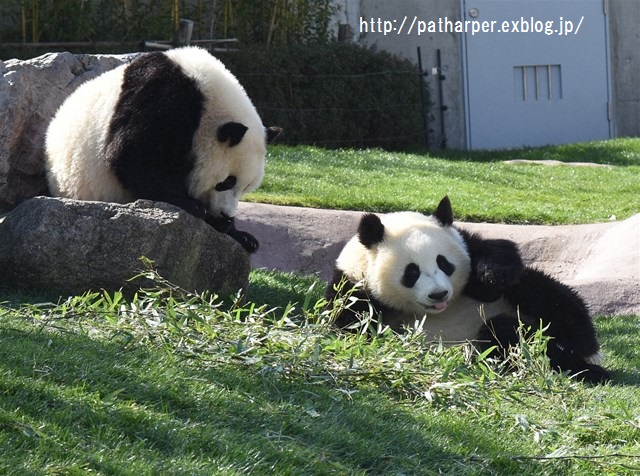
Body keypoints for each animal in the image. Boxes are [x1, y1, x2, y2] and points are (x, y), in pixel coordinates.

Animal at [46, 45, 282, 253]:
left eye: (247, 187)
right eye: (227, 181)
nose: (226, 214)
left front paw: (237, 232)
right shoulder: (164, 98)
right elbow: (133, 157)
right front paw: (192, 206)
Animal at [328, 193, 612, 384]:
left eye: (444, 263)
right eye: (411, 272)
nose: (438, 294)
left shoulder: (469, 245)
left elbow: (499, 256)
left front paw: (489, 278)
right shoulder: (353, 287)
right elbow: (353, 325)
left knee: (556, 302)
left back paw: (584, 359)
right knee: (506, 334)